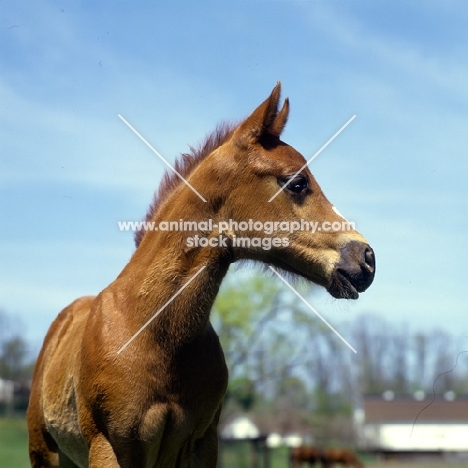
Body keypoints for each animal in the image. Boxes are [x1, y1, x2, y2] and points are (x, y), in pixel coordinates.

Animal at [27, 84, 374, 468]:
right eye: (297, 183)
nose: (366, 258)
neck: (154, 332)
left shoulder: (203, 443)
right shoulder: (108, 444)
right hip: (44, 452)